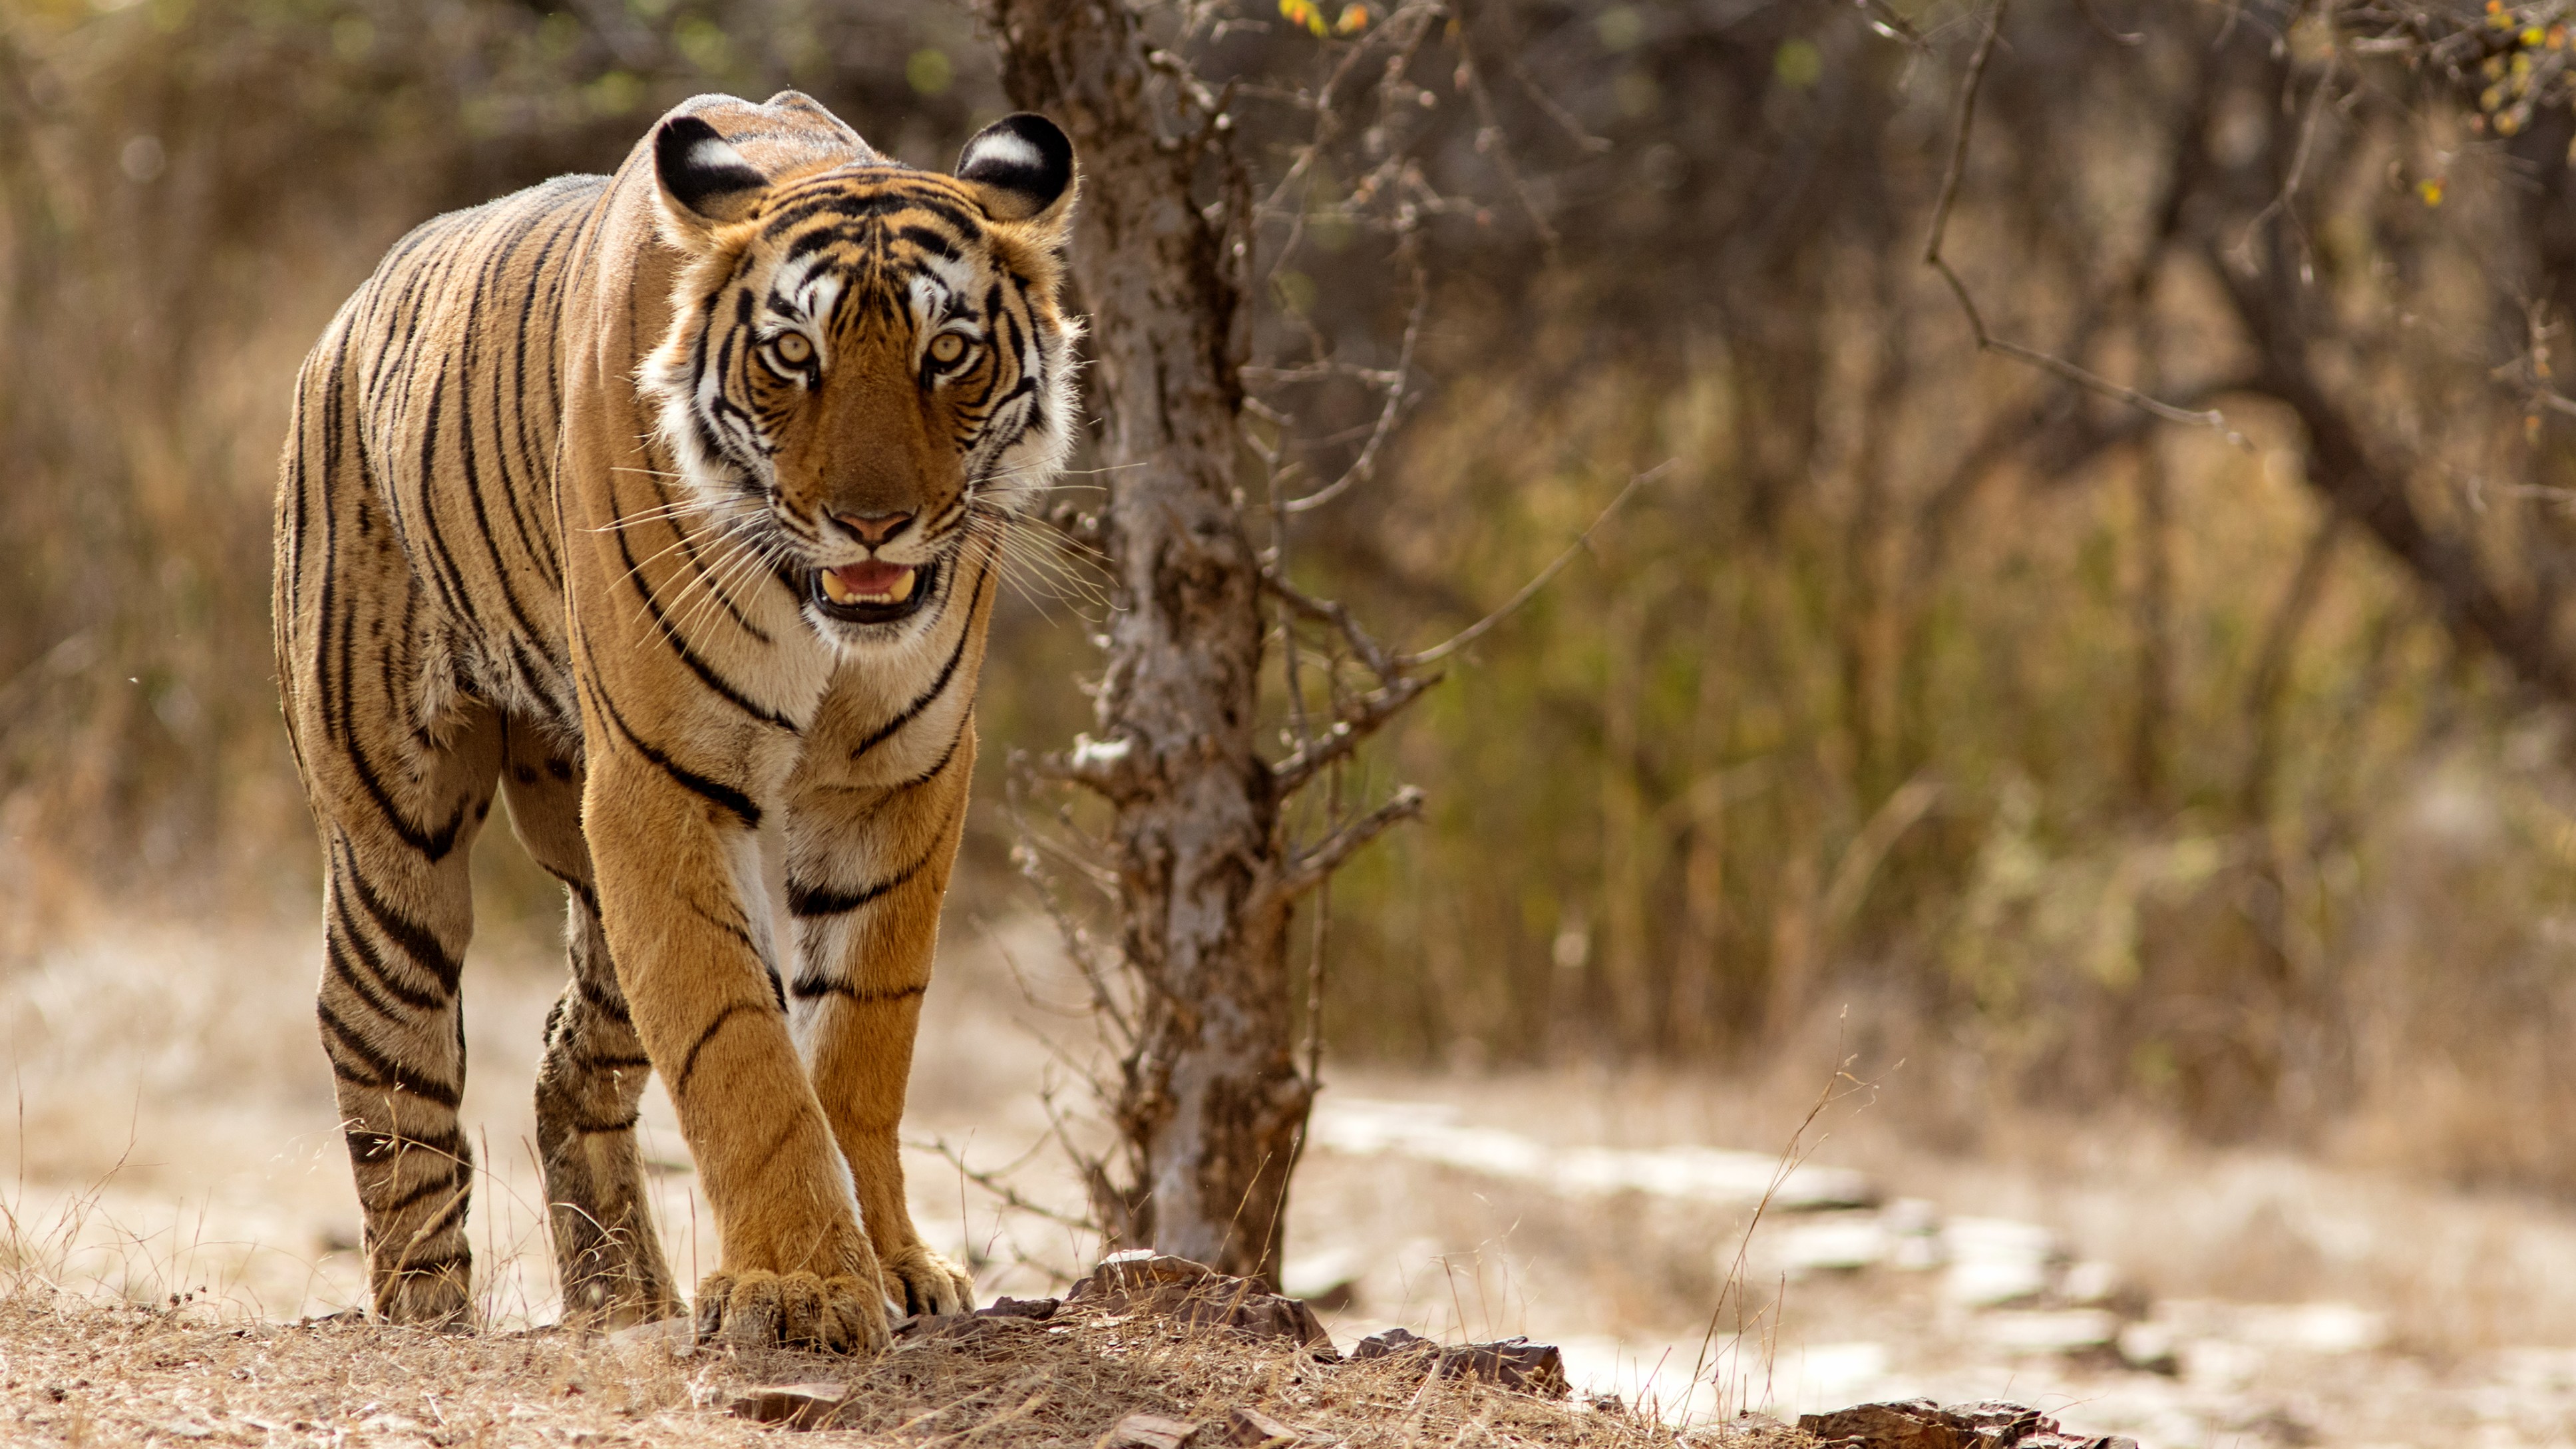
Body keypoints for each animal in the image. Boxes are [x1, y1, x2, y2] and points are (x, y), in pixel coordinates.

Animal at [270, 90, 1079, 1353]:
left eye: (947, 353)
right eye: (793, 356)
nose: (872, 525)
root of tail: (349, 314)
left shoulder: (898, 780)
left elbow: (859, 1040)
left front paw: (891, 1264)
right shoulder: (663, 783)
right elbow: (736, 1044)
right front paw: (800, 1284)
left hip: (589, 886)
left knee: (570, 1062)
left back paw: (620, 1297)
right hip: (392, 823)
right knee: (384, 1046)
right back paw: (429, 1314)